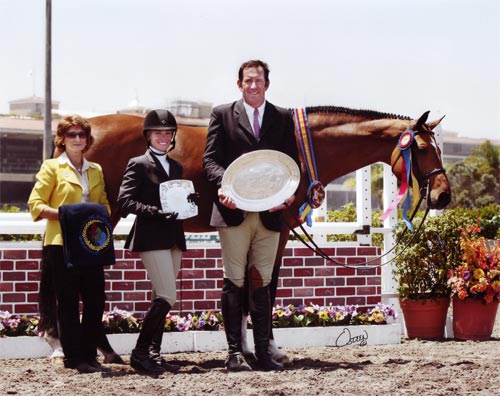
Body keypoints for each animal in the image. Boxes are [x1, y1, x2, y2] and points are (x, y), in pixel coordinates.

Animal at [52, 106, 452, 360]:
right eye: (419, 148)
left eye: (439, 147)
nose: (443, 195)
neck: (301, 146)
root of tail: (84, 127)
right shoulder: (278, 226)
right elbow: (265, 286)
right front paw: (265, 349)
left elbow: (251, 287)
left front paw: (248, 348)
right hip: (104, 218)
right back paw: (98, 351)